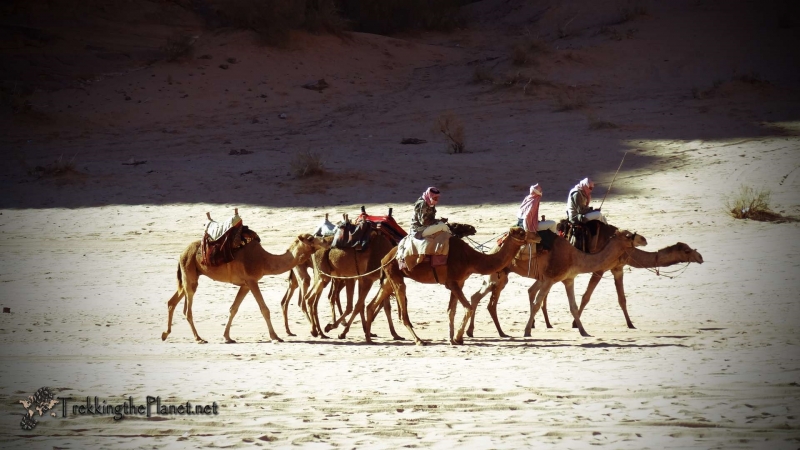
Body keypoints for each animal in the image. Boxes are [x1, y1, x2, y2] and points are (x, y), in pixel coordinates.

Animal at [364, 227, 540, 346]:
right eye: (522, 232)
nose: (537, 236)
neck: (471, 259)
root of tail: (386, 256)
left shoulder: (458, 282)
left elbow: (451, 310)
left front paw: (453, 339)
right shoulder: (452, 282)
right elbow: (468, 307)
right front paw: (458, 337)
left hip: (389, 278)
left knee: (371, 305)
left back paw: (368, 338)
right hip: (395, 275)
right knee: (402, 312)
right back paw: (419, 340)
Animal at [468, 229, 644, 338]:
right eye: (628, 235)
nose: (644, 239)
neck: (575, 257)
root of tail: (492, 248)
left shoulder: (569, 279)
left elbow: (573, 307)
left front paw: (584, 332)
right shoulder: (549, 279)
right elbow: (537, 303)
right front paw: (527, 331)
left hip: (499, 276)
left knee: (476, 297)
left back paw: (476, 332)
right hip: (497, 275)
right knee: (482, 298)